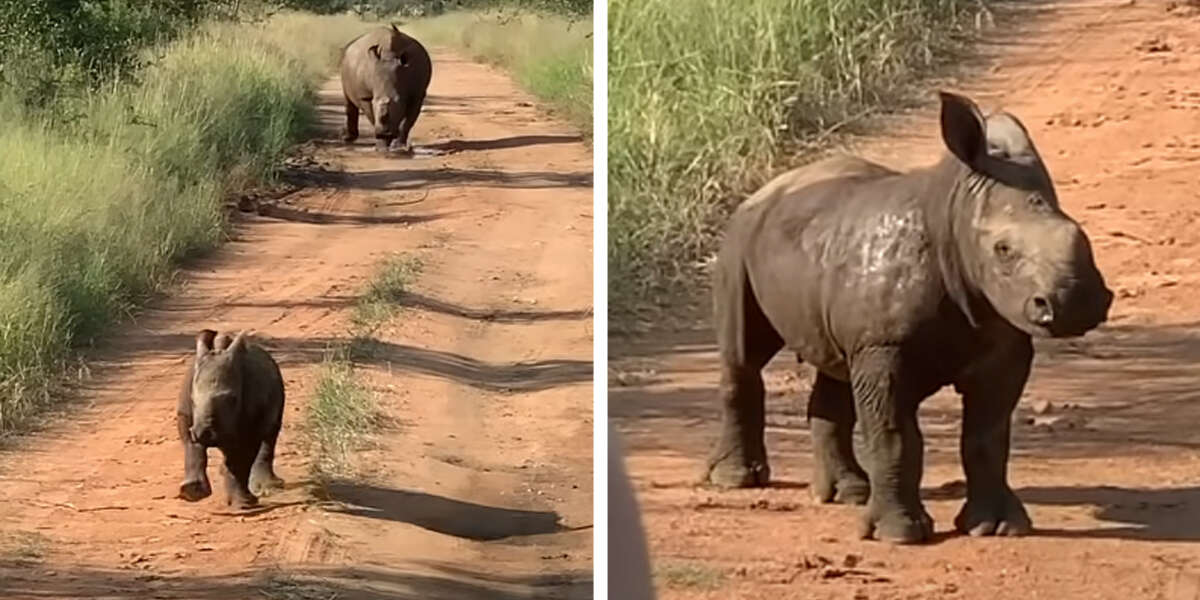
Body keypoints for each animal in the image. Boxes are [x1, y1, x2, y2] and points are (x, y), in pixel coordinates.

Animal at [177, 329, 285, 509]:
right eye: (192, 400)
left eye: (233, 399)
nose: (203, 432)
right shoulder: (186, 414)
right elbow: (192, 446)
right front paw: (192, 492)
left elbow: (241, 459)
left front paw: (244, 503)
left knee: (270, 433)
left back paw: (268, 487)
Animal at [339, 24, 432, 153]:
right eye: (374, 101)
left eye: (399, 100)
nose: (384, 133)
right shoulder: (365, 95)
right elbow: (372, 117)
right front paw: (381, 146)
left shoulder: (417, 94)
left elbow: (407, 122)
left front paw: (399, 147)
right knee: (348, 99)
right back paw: (347, 139)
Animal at [703, 92, 1113, 544]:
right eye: (1003, 250)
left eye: (1081, 236)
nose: (1078, 303)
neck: (956, 213)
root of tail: (769, 187)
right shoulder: (883, 344)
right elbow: (894, 435)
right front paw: (899, 535)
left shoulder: (1002, 341)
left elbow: (986, 435)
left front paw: (997, 528)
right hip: (741, 236)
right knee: (745, 354)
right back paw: (736, 480)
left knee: (834, 364)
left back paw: (849, 492)